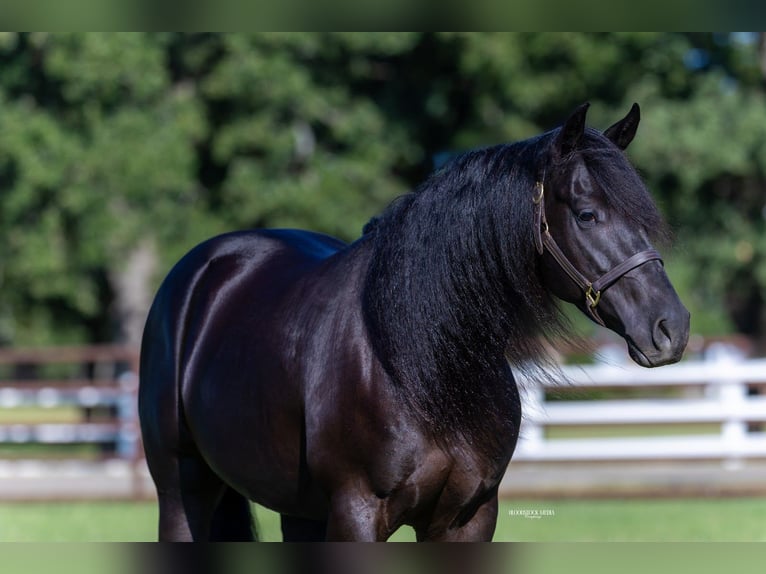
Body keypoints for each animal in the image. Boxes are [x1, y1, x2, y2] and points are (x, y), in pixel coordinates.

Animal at [138, 103, 690, 541]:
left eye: (643, 216)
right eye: (587, 213)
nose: (672, 328)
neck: (422, 364)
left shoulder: (468, 519)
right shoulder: (357, 516)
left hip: (300, 511)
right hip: (183, 490)